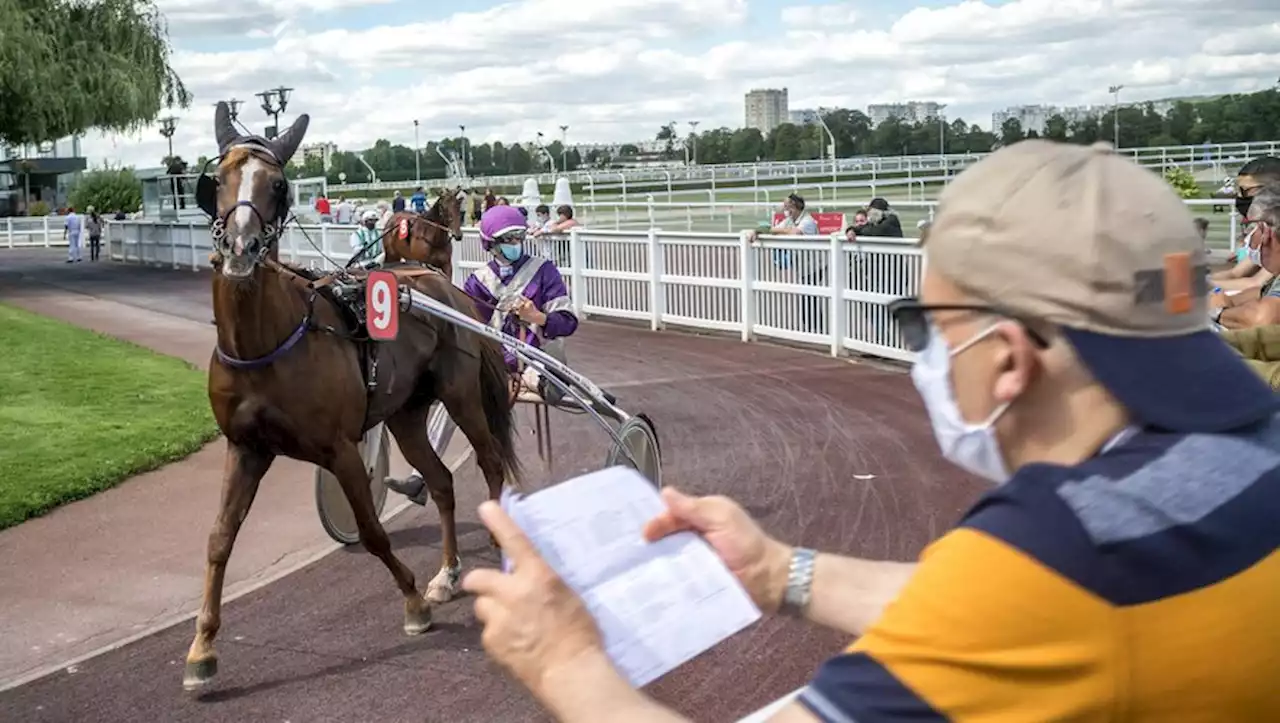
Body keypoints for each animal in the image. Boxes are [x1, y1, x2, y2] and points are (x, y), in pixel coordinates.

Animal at [185, 101, 514, 685]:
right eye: (217, 180)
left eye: (277, 184)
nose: (241, 249)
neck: (268, 342)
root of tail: (443, 286)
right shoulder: (245, 448)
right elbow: (219, 539)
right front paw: (202, 648)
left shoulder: (338, 448)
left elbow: (372, 530)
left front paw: (412, 603)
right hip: (406, 415)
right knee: (442, 481)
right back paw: (447, 574)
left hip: (461, 395)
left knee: (491, 462)